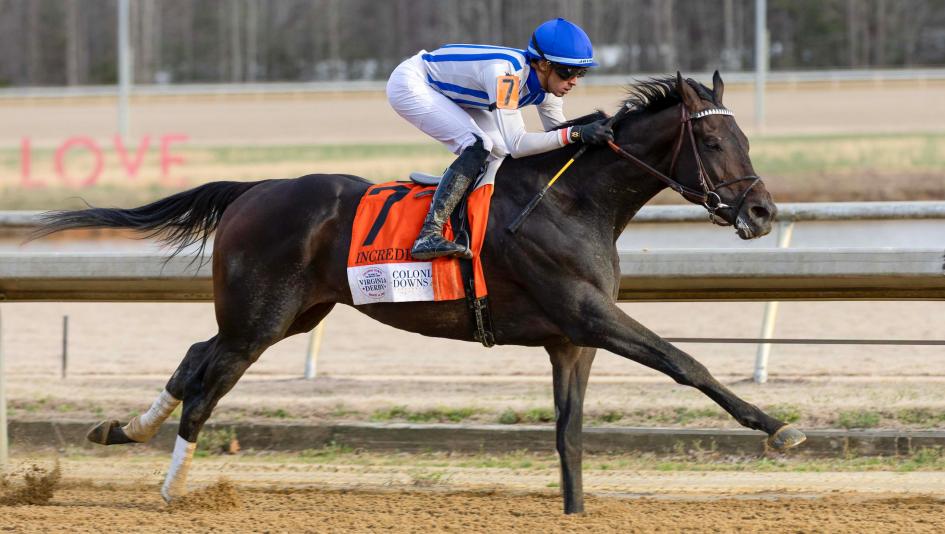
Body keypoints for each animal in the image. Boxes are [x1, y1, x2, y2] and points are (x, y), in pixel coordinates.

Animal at [35, 72, 805, 514]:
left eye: (742, 137)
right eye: (715, 146)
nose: (762, 211)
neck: (574, 201)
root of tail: (253, 189)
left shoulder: (569, 339)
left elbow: (569, 432)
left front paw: (575, 510)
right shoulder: (589, 314)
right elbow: (685, 362)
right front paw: (779, 428)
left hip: (291, 314)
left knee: (197, 355)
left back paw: (123, 429)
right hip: (261, 317)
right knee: (209, 382)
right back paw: (171, 487)